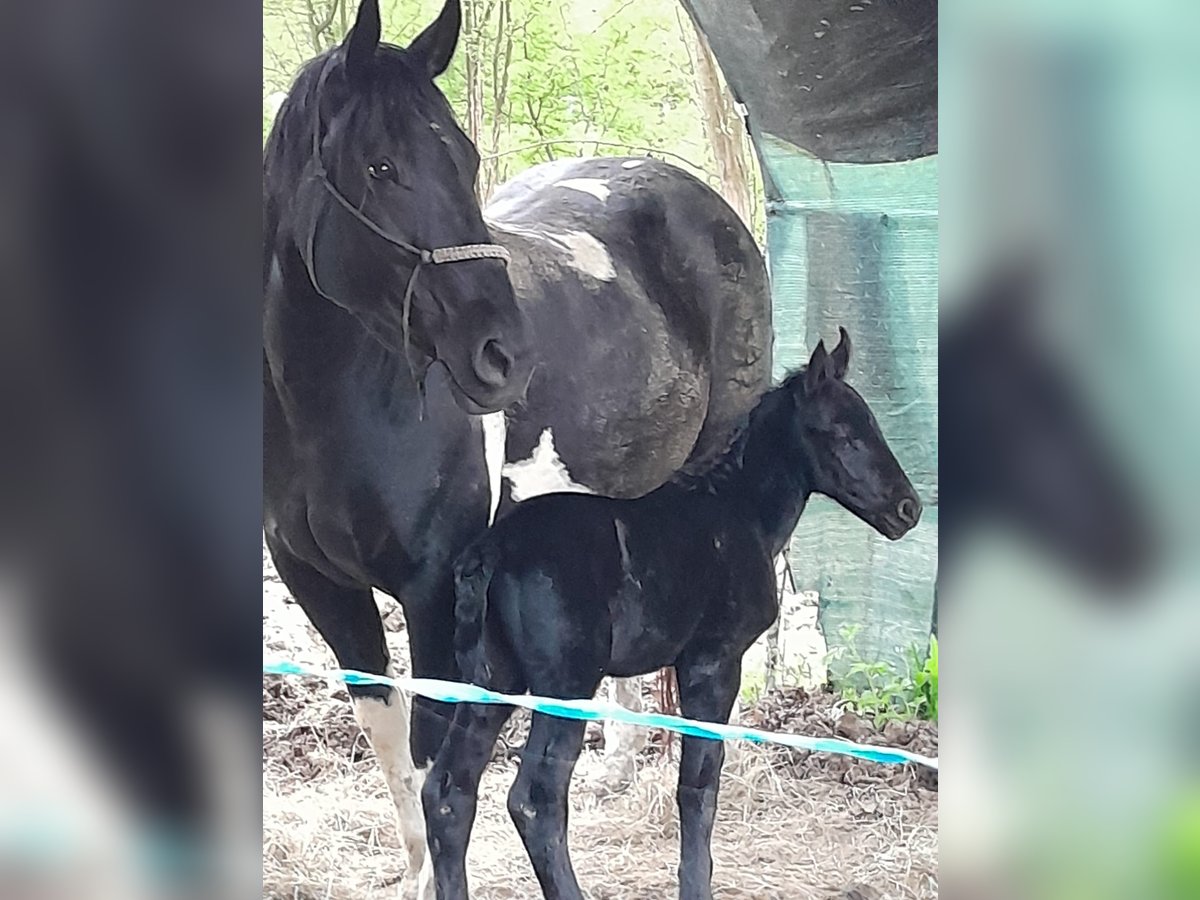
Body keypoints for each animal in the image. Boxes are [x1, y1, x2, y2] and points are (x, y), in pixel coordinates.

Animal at [427, 328, 921, 900]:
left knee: (448, 792)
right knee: (535, 797)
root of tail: (491, 552)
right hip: (565, 683)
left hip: (490, 680)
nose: (908, 508)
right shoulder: (714, 661)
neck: (738, 510)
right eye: (840, 432)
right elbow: (699, 785)